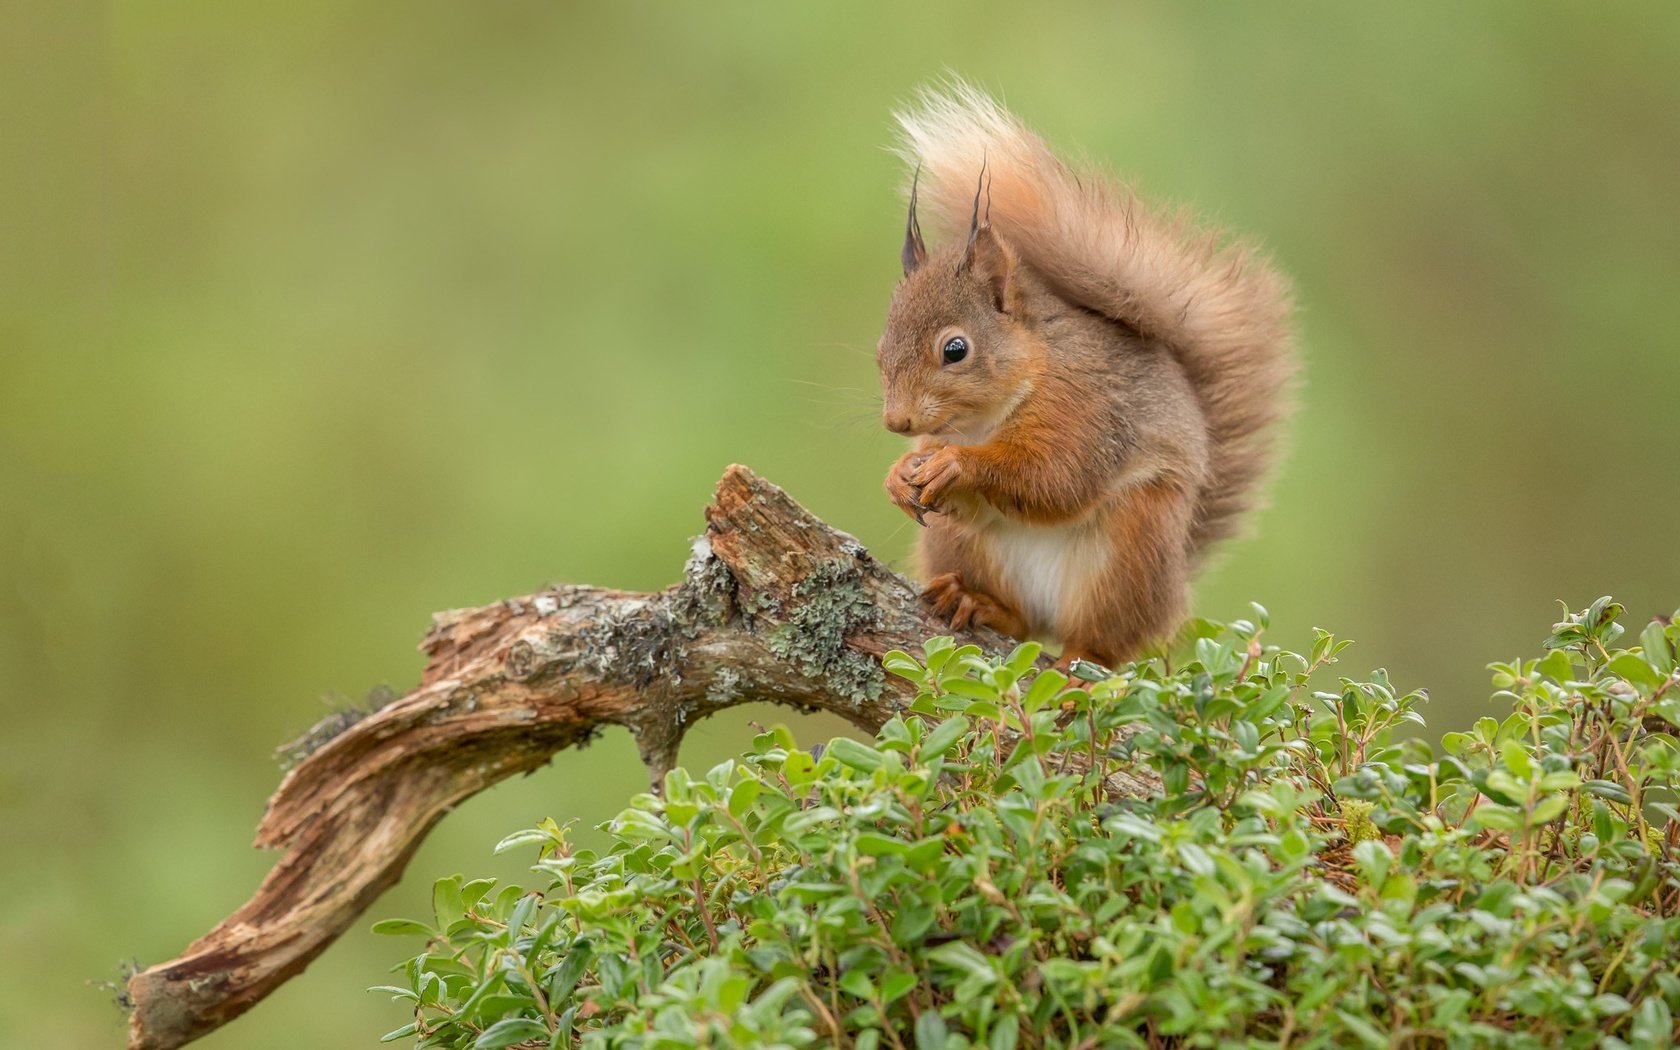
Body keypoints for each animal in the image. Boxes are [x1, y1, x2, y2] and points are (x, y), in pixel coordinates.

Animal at [880, 86, 1296, 668]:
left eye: (955, 350)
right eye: (881, 348)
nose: (896, 422)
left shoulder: (1087, 408)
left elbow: (1055, 477)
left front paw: (957, 465)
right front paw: (900, 473)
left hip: (1129, 551)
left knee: (1104, 644)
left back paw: (1080, 667)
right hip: (957, 544)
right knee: (1020, 619)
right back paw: (974, 600)